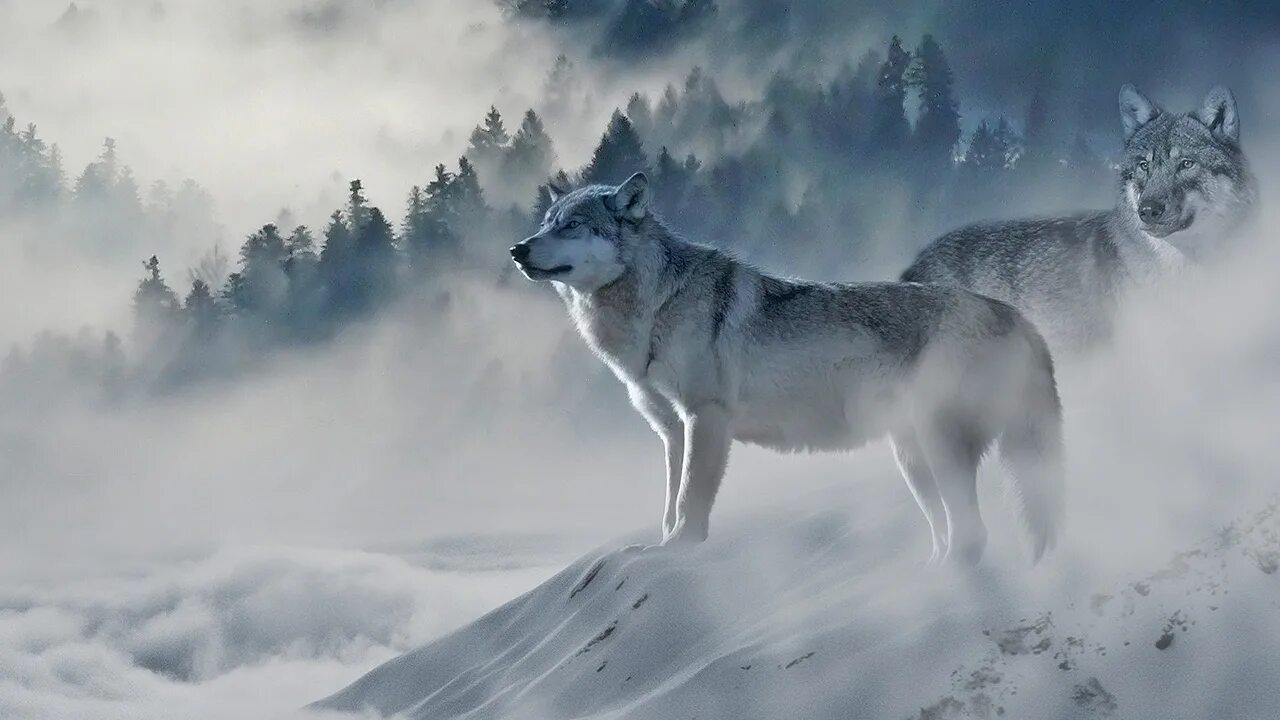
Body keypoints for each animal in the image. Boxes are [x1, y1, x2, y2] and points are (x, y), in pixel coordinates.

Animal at [510, 172, 1065, 563]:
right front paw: (657, 547)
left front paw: (678, 551)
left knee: (972, 536)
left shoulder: (706, 418)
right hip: (912, 460)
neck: (656, 306)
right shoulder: (671, 431)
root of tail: (1017, 316)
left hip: (937, 446)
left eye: (571, 225)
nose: (517, 249)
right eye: (546, 222)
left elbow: (689, 503)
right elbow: (668, 505)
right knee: (950, 534)